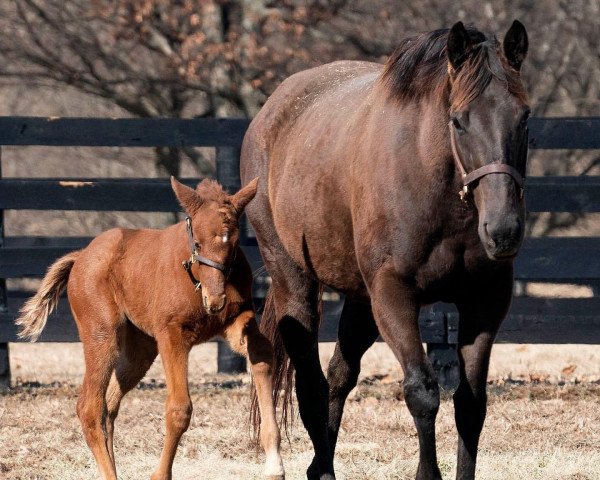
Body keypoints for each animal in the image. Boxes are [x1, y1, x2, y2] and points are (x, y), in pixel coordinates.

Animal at [16, 177, 284, 480]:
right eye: (198, 242)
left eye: (236, 243)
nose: (215, 300)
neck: (195, 279)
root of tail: (81, 256)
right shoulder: (172, 335)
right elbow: (179, 409)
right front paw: (160, 474)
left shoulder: (235, 321)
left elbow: (261, 353)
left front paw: (275, 463)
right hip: (102, 336)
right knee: (90, 408)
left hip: (140, 350)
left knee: (109, 405)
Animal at [241, 21, 528, 480]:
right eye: (458, 121)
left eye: (524, 116)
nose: (502, 231)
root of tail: (271, 111)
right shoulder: (394, 295)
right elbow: (422, 391)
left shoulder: (485, 301)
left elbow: (470, 404)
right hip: (294, 283)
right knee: (311, 383)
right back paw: (323, 469)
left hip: (360, 299)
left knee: (339, 376)